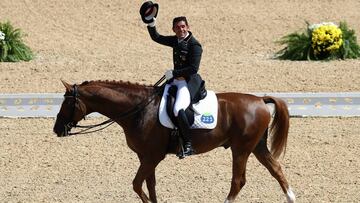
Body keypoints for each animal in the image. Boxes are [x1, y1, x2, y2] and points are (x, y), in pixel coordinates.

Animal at [53, 80, 296, 202]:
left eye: (67, 103)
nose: (57, 129)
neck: (139, 110)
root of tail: (260, 100)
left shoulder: (152, 157)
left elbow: (137, 184)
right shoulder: (145, 157)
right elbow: (149, 185)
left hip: (241, 149)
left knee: (238, 181)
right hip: (257, 147)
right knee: (276, 169)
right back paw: (291, 198)